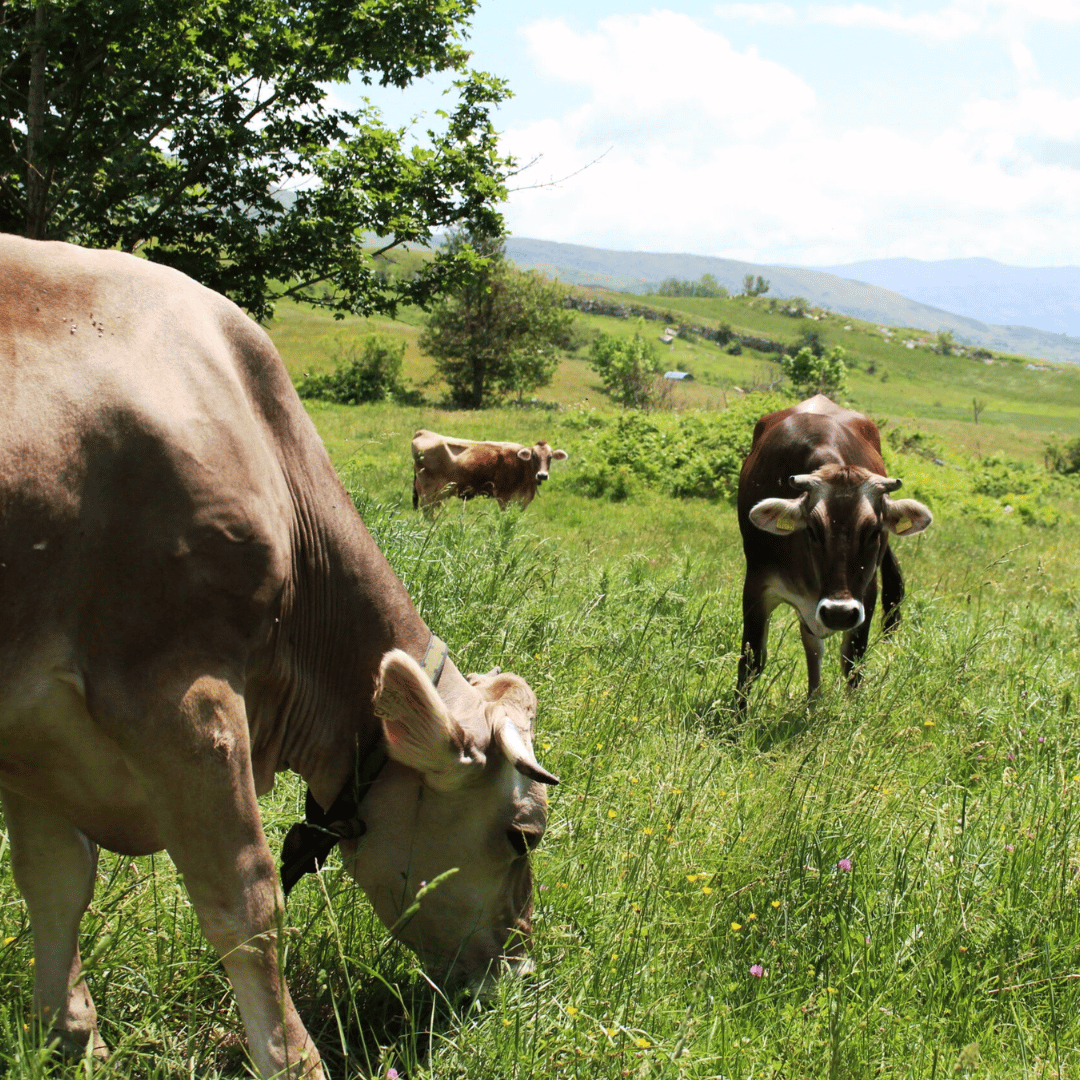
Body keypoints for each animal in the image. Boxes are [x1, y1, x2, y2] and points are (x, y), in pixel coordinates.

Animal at [408, 429, 570, 509]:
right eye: (534, 456)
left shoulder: (522, 500)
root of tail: (423, 432)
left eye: (550, 457)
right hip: (429, 491)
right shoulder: (504, 498)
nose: (542, 475)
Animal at [738, 393, 933, 704]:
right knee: (812, 645)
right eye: (813, 530)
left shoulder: (866, 593)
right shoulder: (757, 584)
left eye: (874, 531)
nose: (839, 613)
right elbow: (752, 661)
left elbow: (852, 662)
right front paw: (736, 716)